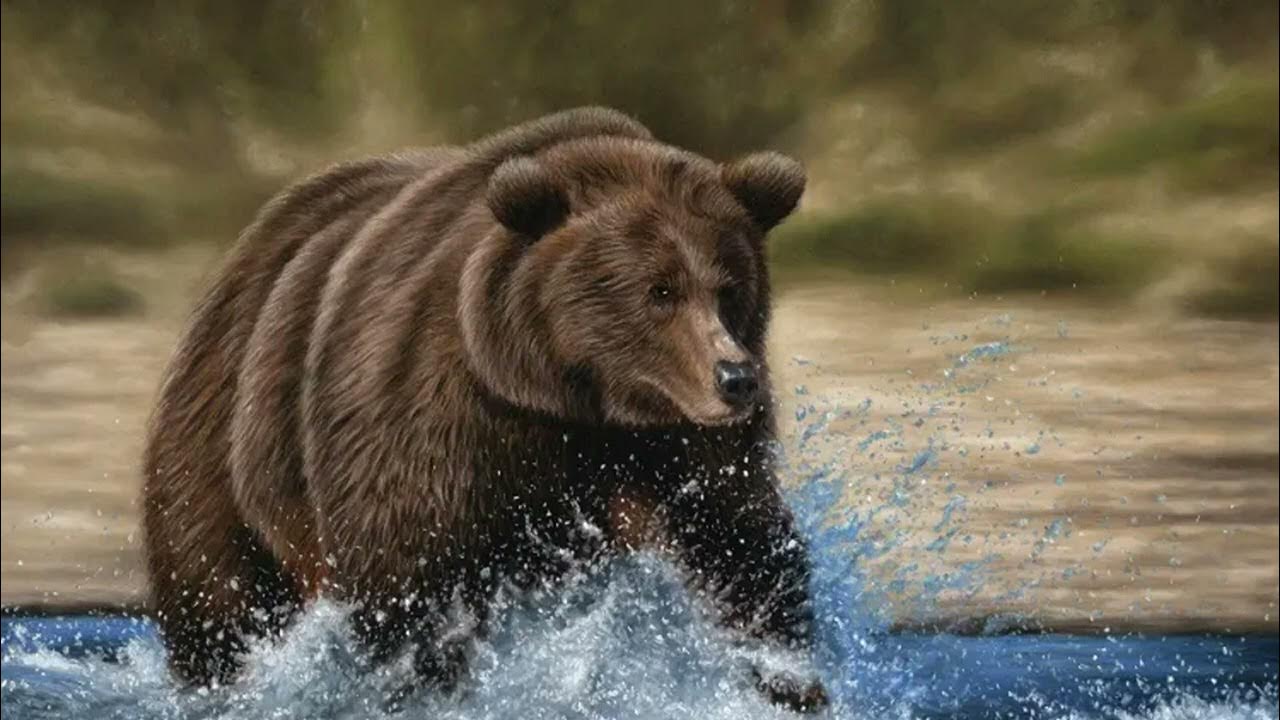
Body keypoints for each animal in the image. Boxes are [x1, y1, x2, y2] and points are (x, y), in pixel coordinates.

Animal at [141, 107, 827, 712]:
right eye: (660, 290)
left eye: (729, 289)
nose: (735, 379)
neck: (571, 398)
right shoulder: (430, 406)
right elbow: (409, 574)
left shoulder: (680, 446)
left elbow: (738, 543)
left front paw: (788, 681)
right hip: (226, 436)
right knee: (217, 591)